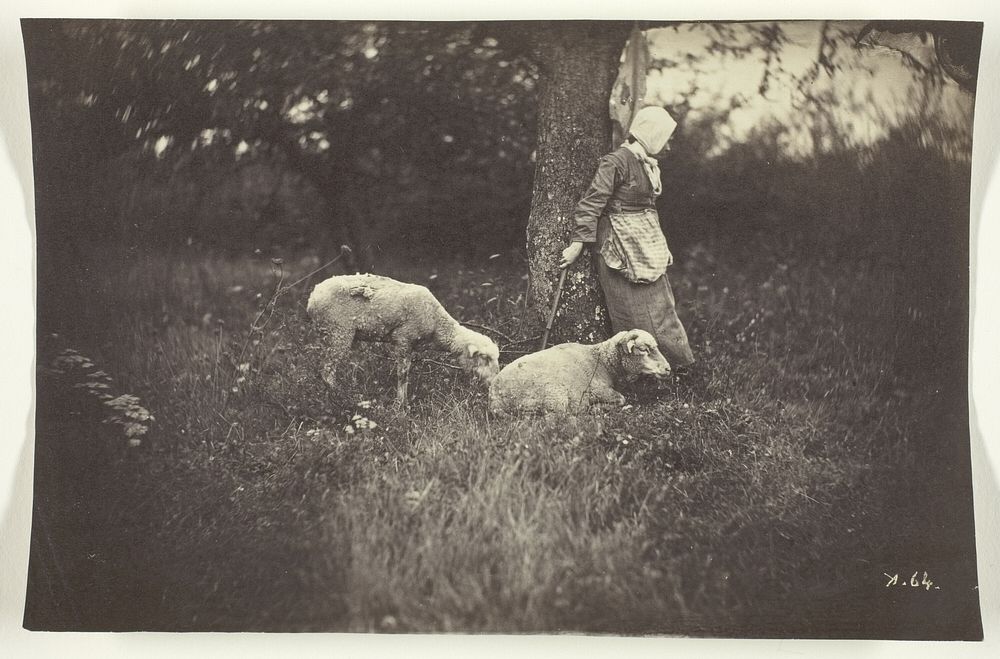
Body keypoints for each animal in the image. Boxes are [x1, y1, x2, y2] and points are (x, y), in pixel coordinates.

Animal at [304, 274, 500, 408]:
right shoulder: (404, 339)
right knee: (327, 371)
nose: (494, 381)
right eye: (484, 358)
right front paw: (401, 405)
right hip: (339, 331)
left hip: (329, 334)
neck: (437, 324)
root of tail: (312, 298)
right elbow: (403, 374)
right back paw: (343, 398)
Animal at [486, 330, 668, 418]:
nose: (668, 368)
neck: (602, 360)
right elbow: (622, 399)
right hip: (554, 397)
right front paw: (597, 408)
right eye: (644, 349)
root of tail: (494, 398)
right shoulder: (596, 389)